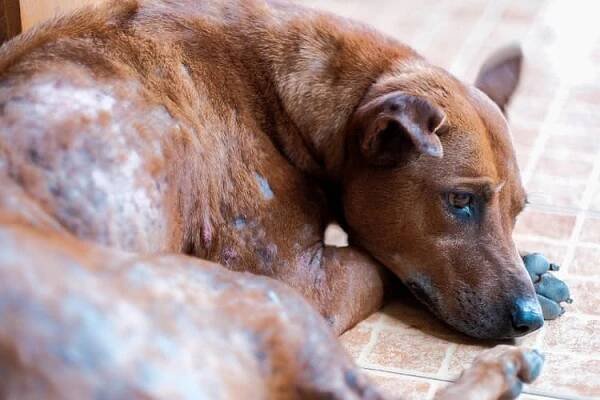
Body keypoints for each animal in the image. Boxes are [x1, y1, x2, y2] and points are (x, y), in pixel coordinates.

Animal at [0, 0, 572, 398]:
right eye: (459, 201)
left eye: (518, 211)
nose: (529, 320)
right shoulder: (303, 281)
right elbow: (376, 263)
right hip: (266, 302)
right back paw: (501, 369)